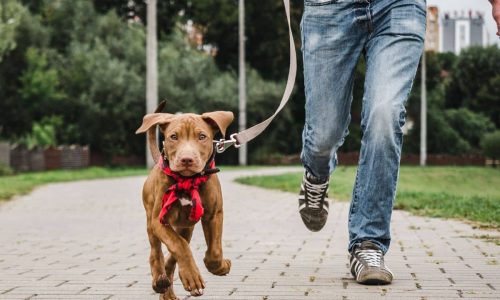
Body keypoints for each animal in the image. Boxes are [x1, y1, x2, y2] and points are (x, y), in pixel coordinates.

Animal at [135, 102, 232, 298]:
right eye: (173, 137)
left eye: (202, 136)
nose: (187, 159)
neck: (187, 180)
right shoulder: (159, 220)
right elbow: (179, 246)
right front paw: (192, 277)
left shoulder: (213, 214)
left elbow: (214, 251)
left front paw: (220, 267)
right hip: (151, 221)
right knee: (157, 252)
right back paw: (159, 279)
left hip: (187, 226)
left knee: (175, 252)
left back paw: (168, 290)